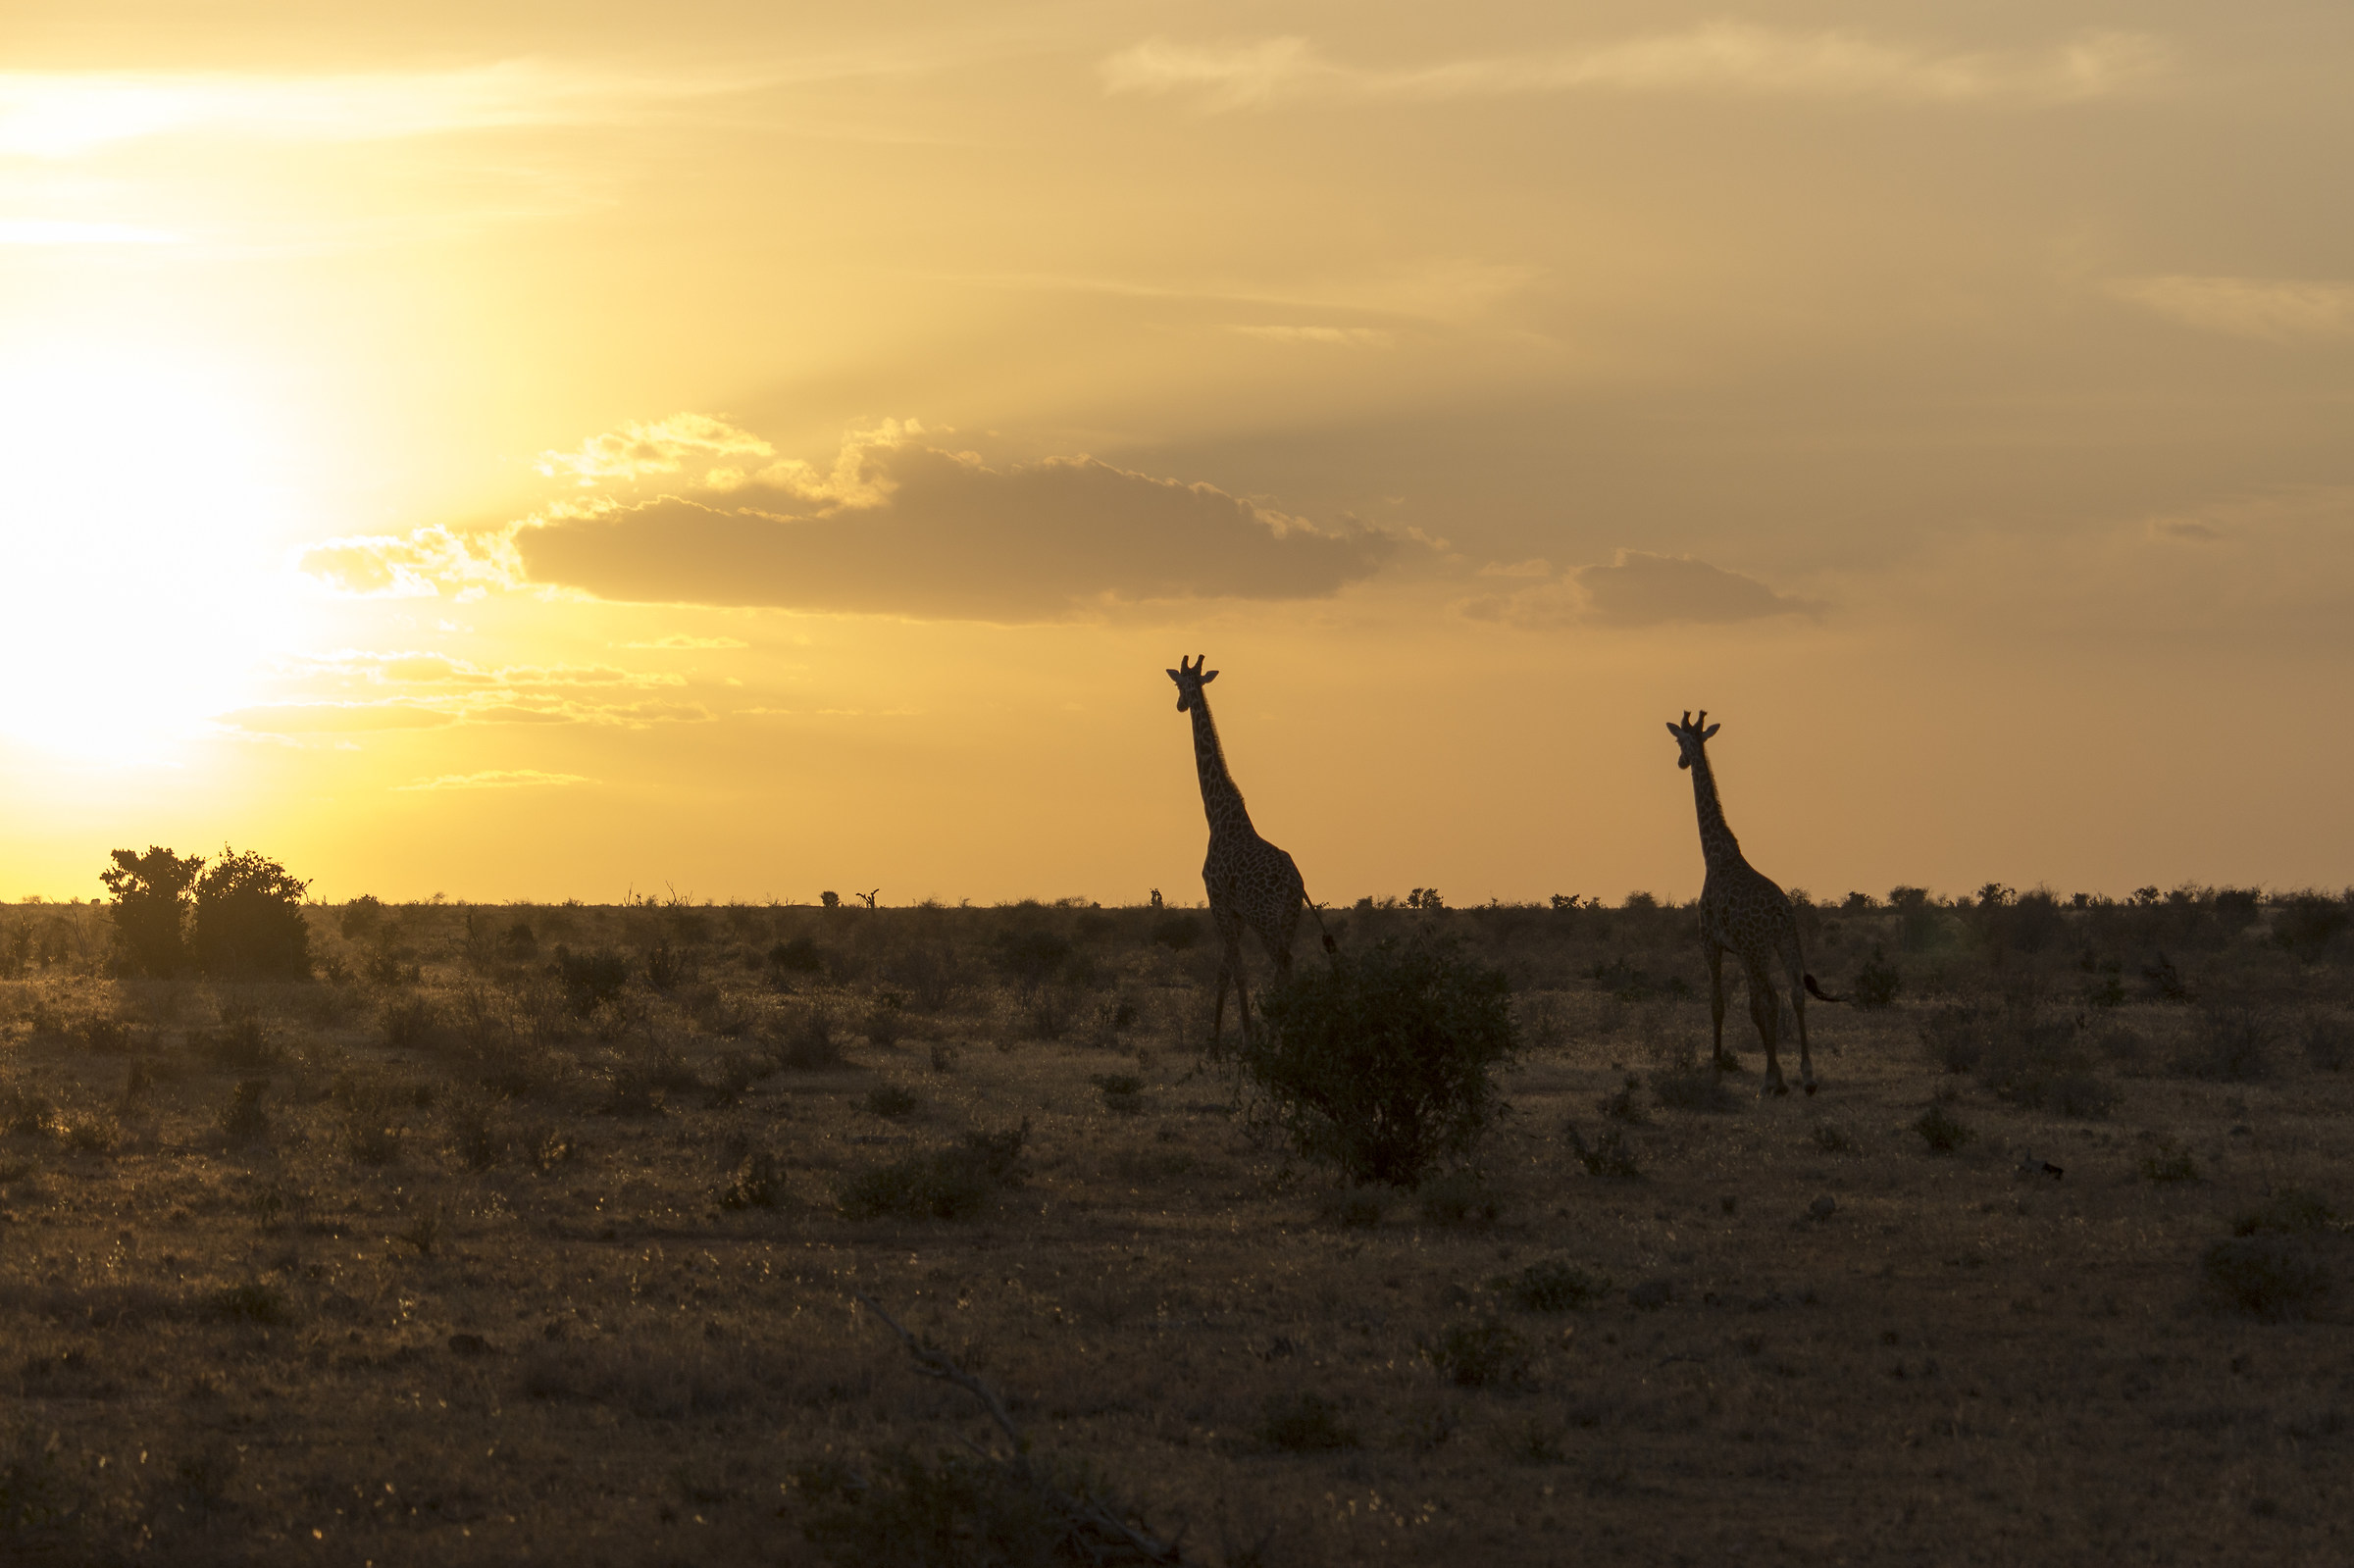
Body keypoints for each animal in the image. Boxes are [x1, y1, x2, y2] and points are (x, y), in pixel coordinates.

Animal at [1167, 655, 1334, 1047]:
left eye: (1180, 684)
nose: (1180, 704)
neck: (1219, 816)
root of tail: (1294, 883)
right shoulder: (1236, 912)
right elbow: (1229, 969)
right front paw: (1226, 1038)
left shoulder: (1219, 902)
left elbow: (1233, 971)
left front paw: (1232, 1039)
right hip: (1288, 916)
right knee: (1284, 964)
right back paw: (1281, 1032)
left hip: (1266, 916)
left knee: (1283, 962)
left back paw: (1278, 1035)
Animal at [1665, 710, 1841, 1096]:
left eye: (1679, 742)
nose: (1681, 762)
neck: (1716, 856)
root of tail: (1779, 912)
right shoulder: (1742, 949)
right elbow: (1750, 1005)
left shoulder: (1711, 942)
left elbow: (1720, 1004)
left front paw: (1717, 1072)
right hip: (1786, 941)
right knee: (1795, 992)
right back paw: (1807, 1076)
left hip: (1757, 949)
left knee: (1770, 998)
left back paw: (1771, 1081)